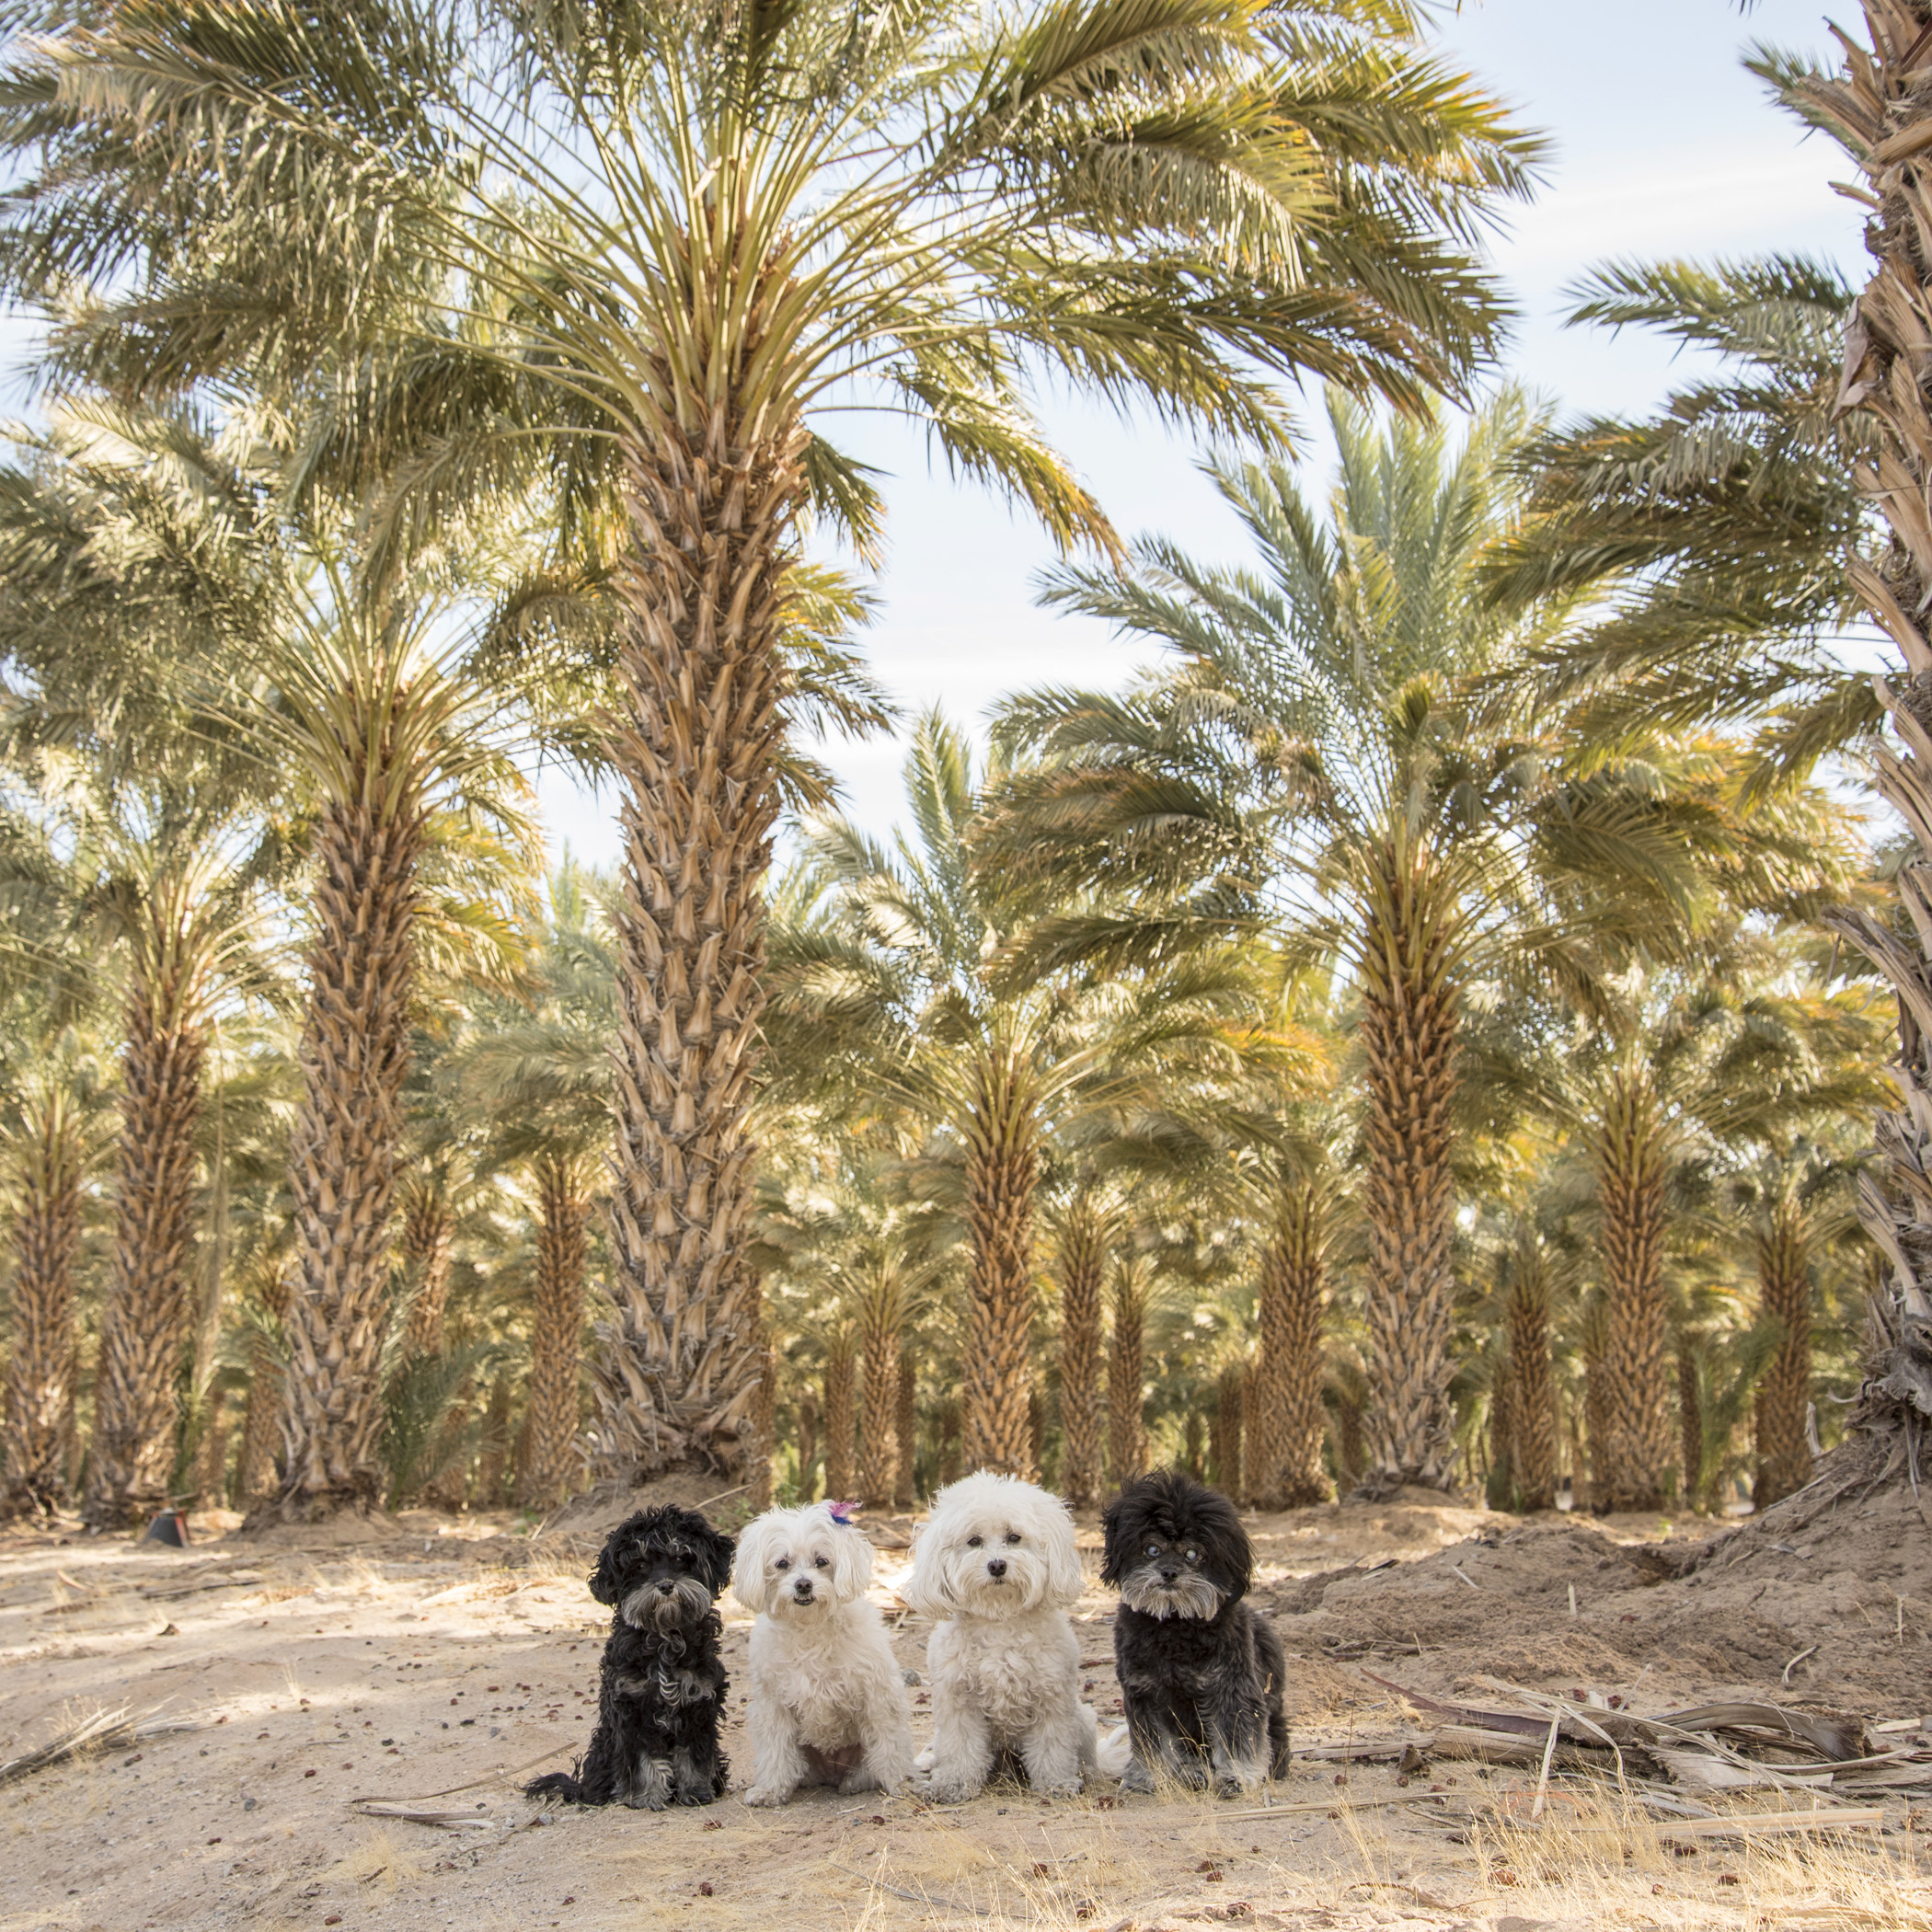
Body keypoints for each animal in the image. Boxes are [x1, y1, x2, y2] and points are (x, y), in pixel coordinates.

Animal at [525, 1499, 733, 1800]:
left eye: (682, 1558)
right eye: (641, 1564)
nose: (666, 1585)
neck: (664, 1637)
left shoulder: (700, 1702)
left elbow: (693, 1754)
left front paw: (696, 1790)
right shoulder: (632, 1705)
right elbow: (644, 1758)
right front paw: (645, 1796)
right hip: (603, 1748)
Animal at [730, 1499, 912, 1800]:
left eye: (822, 1561)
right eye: (782, 1563)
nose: (803, 1584)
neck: (810, 1629)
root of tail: (831, 1773)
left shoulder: (877, 1696)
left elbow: (890, 1745)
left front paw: (901, 1783)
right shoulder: (774, 1706)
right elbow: (776, 1750)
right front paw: (770, 1789)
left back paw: (854, 1782)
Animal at [892, 1467, 1112, 1800]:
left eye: (1014, 1537)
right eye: (974, 1541)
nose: (997, 1565)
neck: (999, 1619)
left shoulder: (1052, 1699)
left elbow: (1052, 1746)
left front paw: (1056, 1783)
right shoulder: (959, 1701)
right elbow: (961, 1747)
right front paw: (954, 1784)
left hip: (1083, 1720)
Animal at [1105, 1476, 1282, 1792]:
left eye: (1192, 1554)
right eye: (1152, 1549)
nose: (1168, 1573)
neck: (1174, 1623)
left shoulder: (1232, 1688)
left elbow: (1236, 1735)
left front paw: (1237, 1775)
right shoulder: (1144, 1692)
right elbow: (1151, 1741)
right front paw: (1148, 1776)